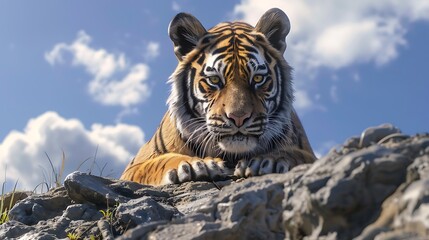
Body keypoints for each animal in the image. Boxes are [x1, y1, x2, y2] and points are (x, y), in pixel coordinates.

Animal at [119, 7, 314, 186]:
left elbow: (295, 154)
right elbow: (158, 163)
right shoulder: (134, 166)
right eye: (214, 80)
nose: (238, 117)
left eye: (258, 78)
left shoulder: (308, 154)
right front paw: (194, 165)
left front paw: (268, 162)